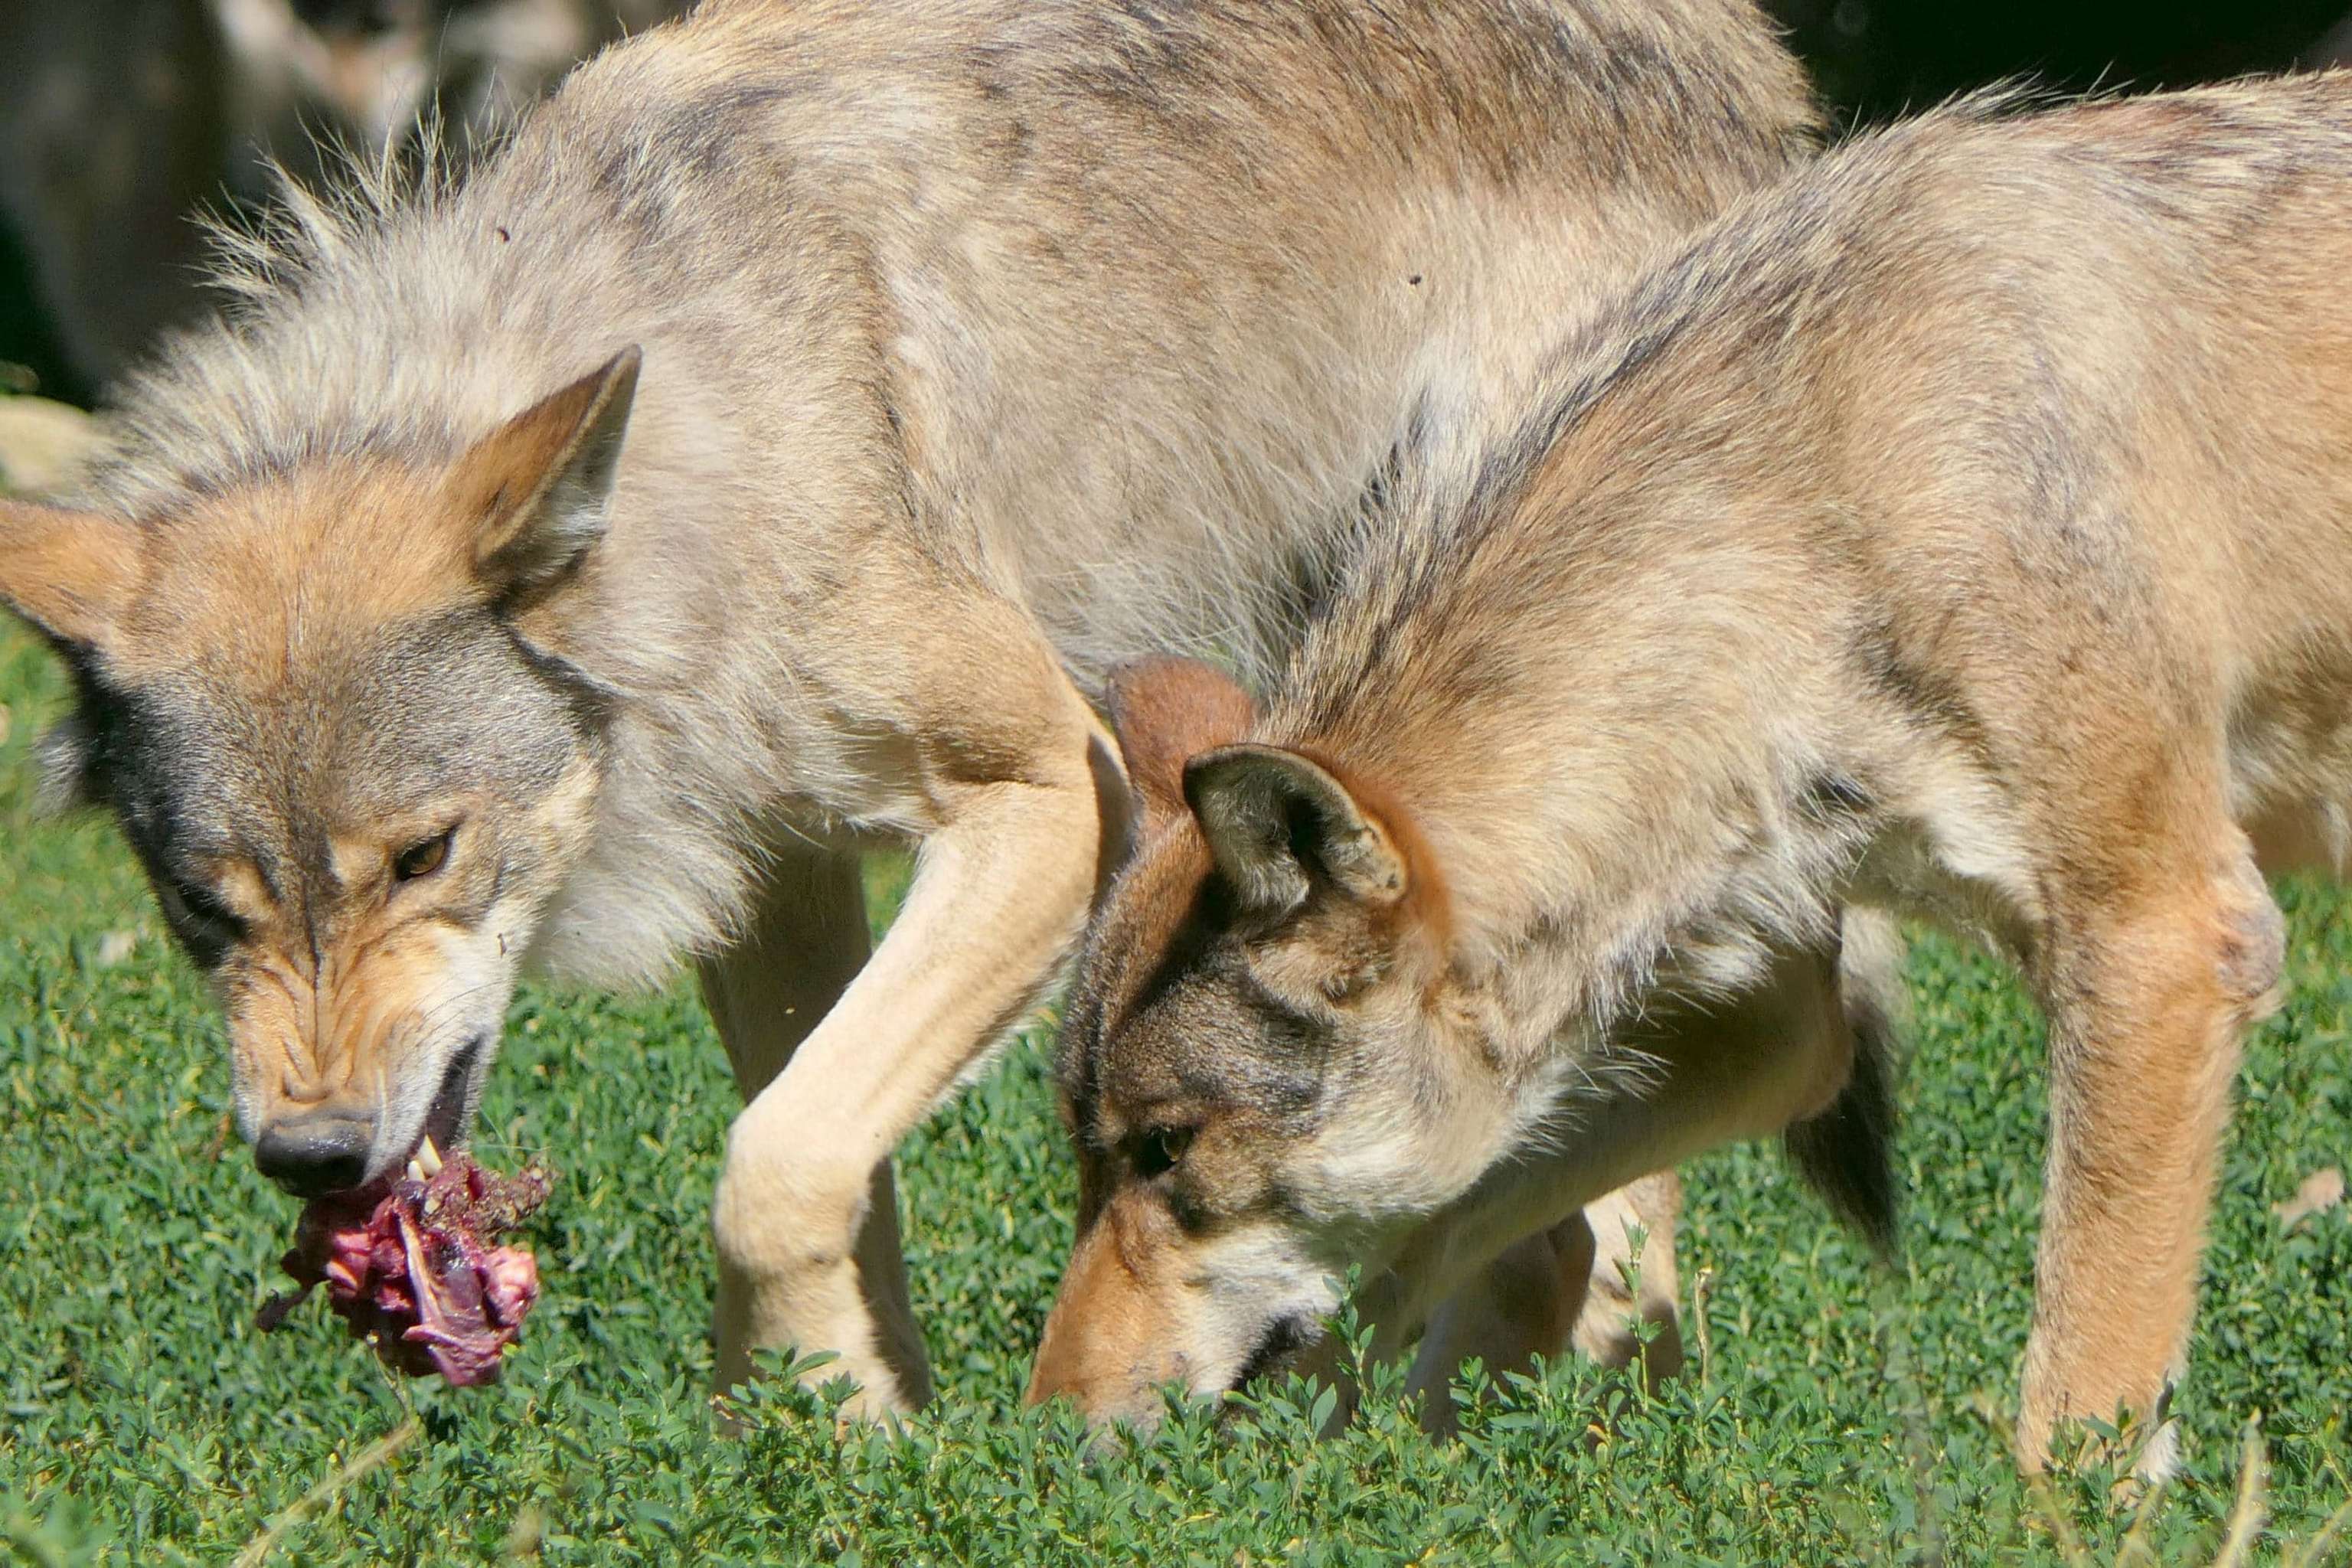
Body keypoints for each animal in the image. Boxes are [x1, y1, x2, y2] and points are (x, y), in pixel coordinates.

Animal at [0, 0, 1817, 1411]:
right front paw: (833, 1438)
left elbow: (772, 1163)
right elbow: (821, 1164)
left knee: (1590, 1216)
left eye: (420, 857)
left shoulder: (1055, 793)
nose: (309, 1158)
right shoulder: (771, 873)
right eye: (203, 911)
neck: (703, 444)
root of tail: (1746, 68)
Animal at [1029, 76, 2352, 1472]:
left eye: (1165, 1152)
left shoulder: (2161, 942)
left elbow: (2079, 1387)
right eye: (1085, 1155)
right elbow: (1461, 1224)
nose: (1042, 1435)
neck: (1807, 521)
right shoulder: (1775, 1024)